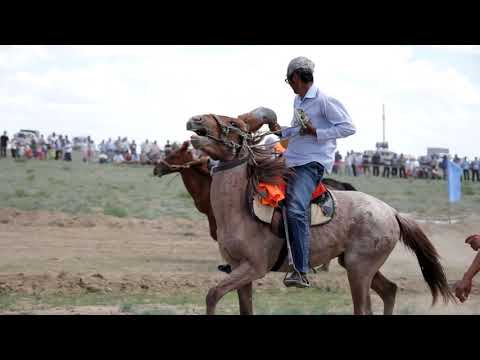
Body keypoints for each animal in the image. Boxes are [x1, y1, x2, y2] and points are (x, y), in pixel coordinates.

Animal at [188, 113, 454, 316]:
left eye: (232, 122)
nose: (195, 119)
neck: (241, 210)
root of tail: (392, 212)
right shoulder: (239, 269)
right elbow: (242, 307)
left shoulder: (254, 267)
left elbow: (212, 294)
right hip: (356, 264)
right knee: (390, 290)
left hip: (359, 270)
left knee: (364, 308)